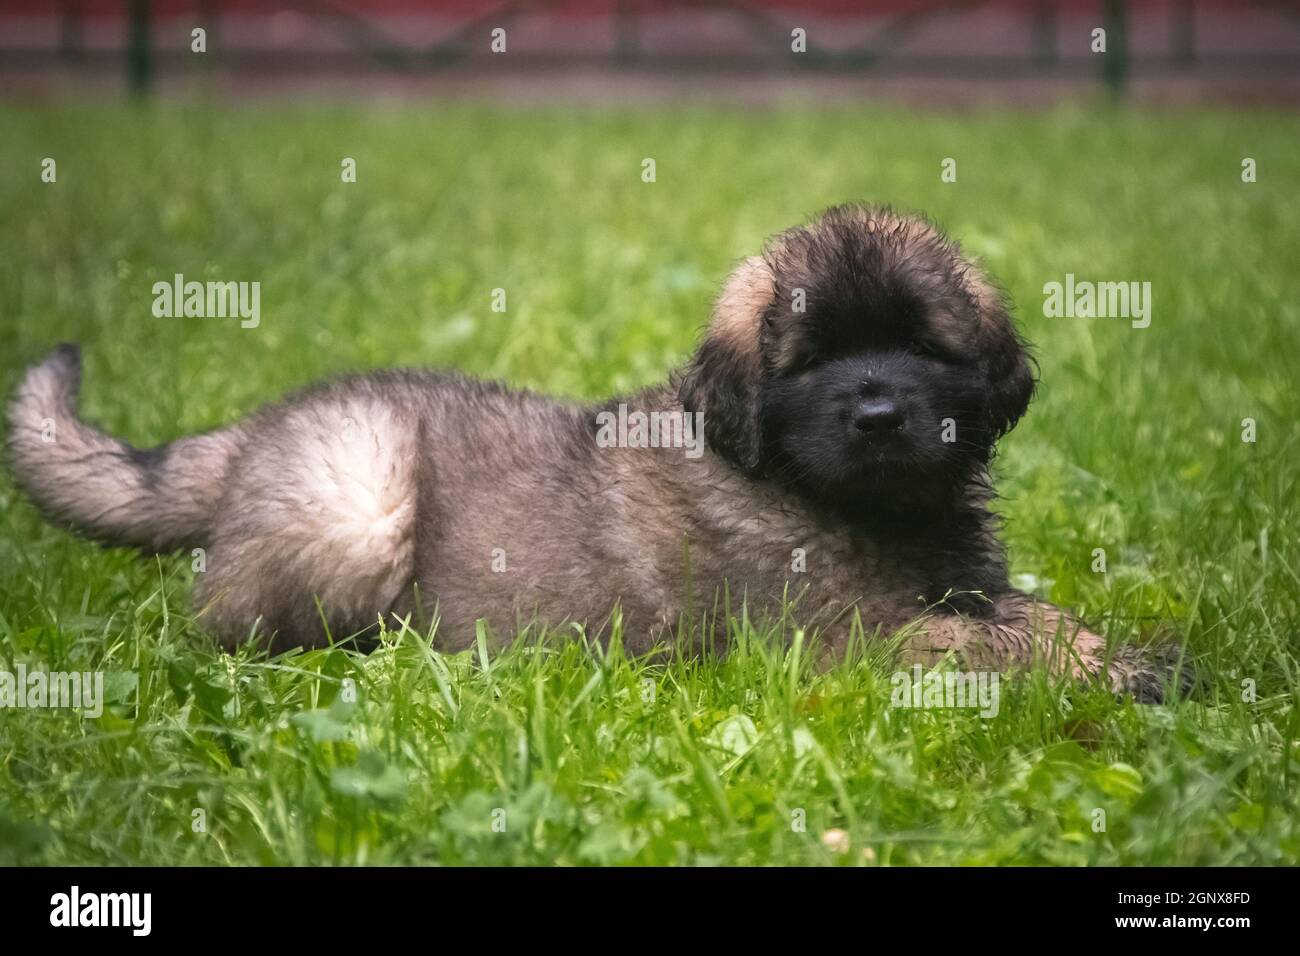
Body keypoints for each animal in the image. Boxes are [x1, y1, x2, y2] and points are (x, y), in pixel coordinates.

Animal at [5, 208, 1185, 702]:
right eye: (812, 361)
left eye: (922, 347)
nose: (881, 414)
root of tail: (254, 430)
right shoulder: (845, 639)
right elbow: (991, 645)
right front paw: (1113, 675)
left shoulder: (960, 584)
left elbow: (1034, 615)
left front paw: (1126, 656)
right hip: (357, 509)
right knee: (231, 628)